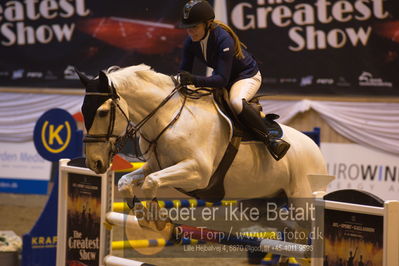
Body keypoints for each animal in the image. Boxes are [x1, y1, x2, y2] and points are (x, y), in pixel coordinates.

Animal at [76, 64, 330, 210]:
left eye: (102, 112)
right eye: (84, 110)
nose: (94, 163)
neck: (169, 118)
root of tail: (315, 148)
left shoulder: (198, 173)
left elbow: (151, 183)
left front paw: (155, 221)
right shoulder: (156, 165)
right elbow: (126, 182)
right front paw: (138, 210)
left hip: (302, 198)